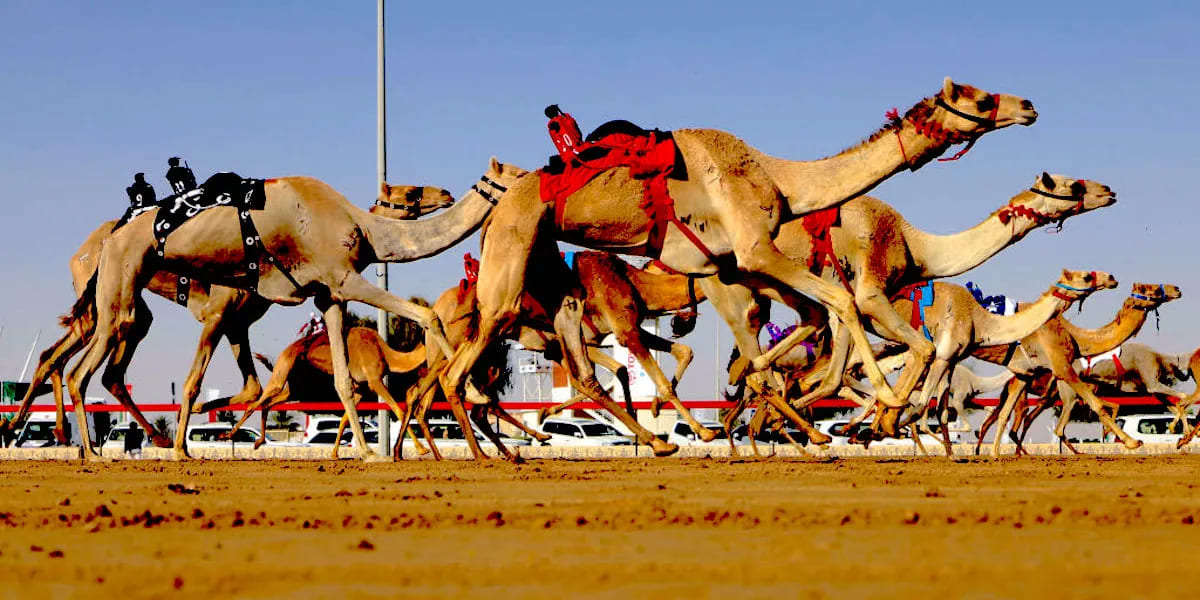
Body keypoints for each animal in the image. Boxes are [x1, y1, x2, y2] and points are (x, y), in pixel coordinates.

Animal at [60, 159, 520, 458]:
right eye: (410, 191)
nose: (445, 192)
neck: (363, 228)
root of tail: (110, 235)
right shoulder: (344, 279)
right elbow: (428, 315)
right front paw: (474, 391)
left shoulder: (328, 296)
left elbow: (343, 381)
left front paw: (366, 452)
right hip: (120, 290)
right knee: (80, 370)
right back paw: (97, 452)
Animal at [436, 77, 1036, 448]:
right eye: (982, 101)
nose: (1027, 106)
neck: (781, 180)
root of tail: (501, 205)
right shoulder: (755, 250)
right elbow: (841, 303)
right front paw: (882, 403)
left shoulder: (727, 268)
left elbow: (787, 336)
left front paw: (768, 402)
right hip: (508, 261)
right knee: (458, 367)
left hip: (548, 272)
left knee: (565, 362)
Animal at [969, 280, 1185, 453]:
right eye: (1152, 289)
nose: (1177, 289)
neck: (1074, 335)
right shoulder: (1063, 367)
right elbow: (1099, 405)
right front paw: (1133, 442)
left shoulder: (1027, 372)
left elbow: (1004, 414)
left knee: (1004, 418)